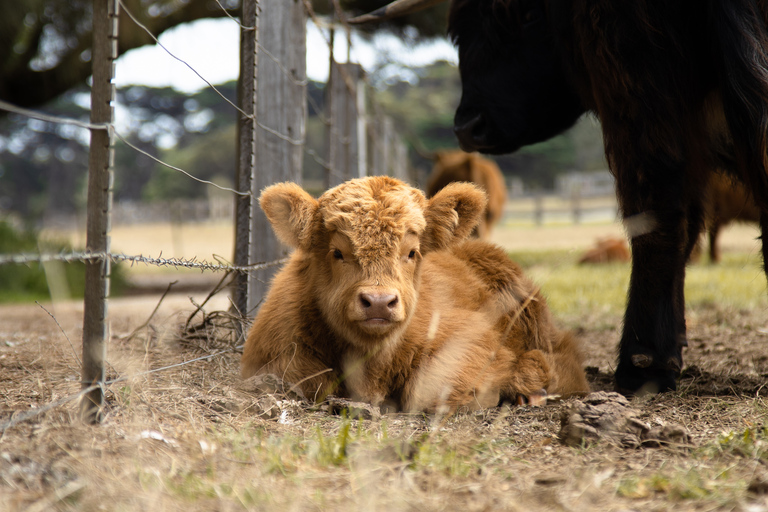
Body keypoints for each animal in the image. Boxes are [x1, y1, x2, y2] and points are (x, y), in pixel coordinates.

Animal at [240, 176, 588, 412]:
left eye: (412, 252)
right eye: (337, 252)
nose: (379, 303)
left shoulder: (472, 338)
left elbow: (428, 388)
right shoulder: (273, 354)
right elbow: (312, 380)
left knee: (564, 361)